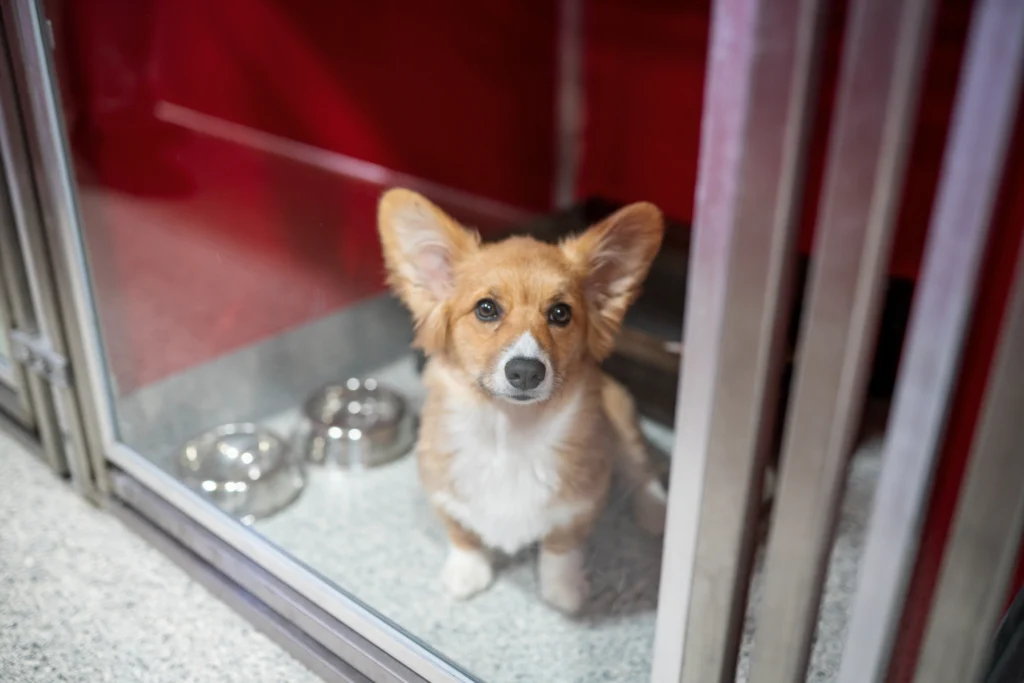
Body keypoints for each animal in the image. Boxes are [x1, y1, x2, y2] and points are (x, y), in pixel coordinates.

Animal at [380, 188, 667, 614]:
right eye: (486, 308)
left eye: (561, 313)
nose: (527, 371)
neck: (509, 431)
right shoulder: (442, 494)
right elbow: (462, 533)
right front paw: (466, 574)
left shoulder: (581, 505)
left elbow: (561, 545)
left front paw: (563, 590)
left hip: (623, 423)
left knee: (642, 468)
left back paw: (657, 512)